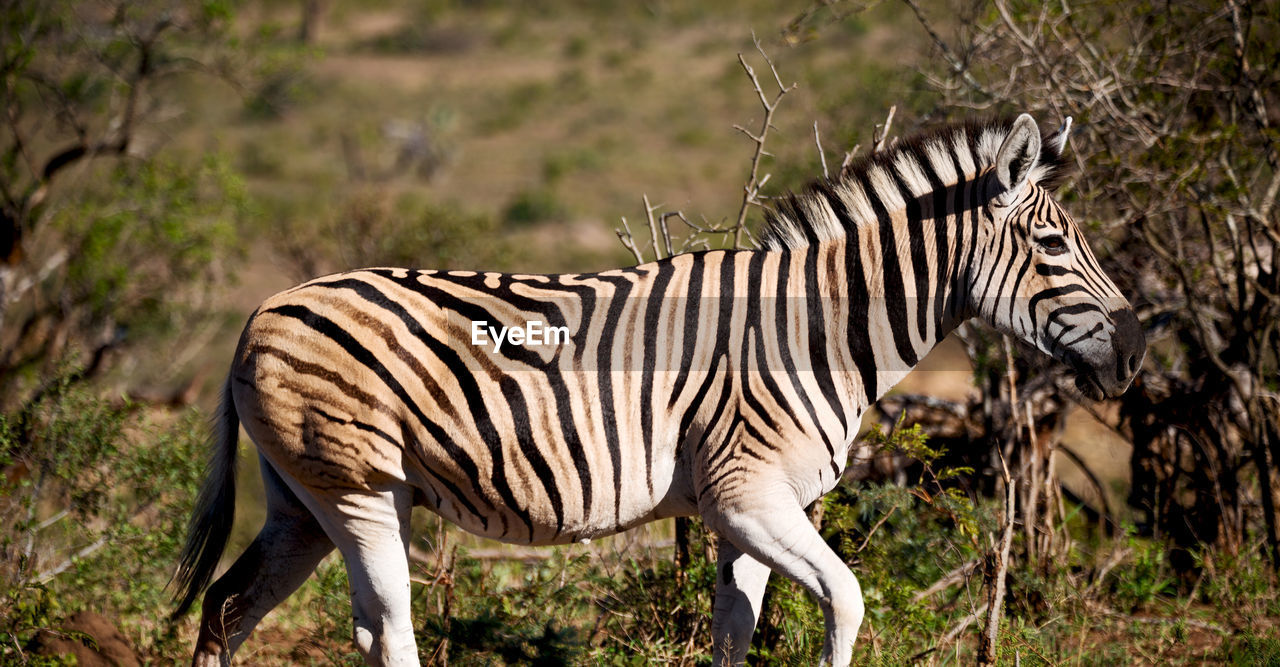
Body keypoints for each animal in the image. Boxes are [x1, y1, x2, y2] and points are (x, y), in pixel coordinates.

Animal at [172, 115, 1152, 665]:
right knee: (387, 628)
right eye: (1054, 246)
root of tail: (260, 311)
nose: (1139, 350)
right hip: (359, 486)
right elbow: (845, 600)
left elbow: (734, 632)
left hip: (303, 499)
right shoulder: (749, 494)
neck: (819, 329)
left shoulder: (741, 512)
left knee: (226, 608)